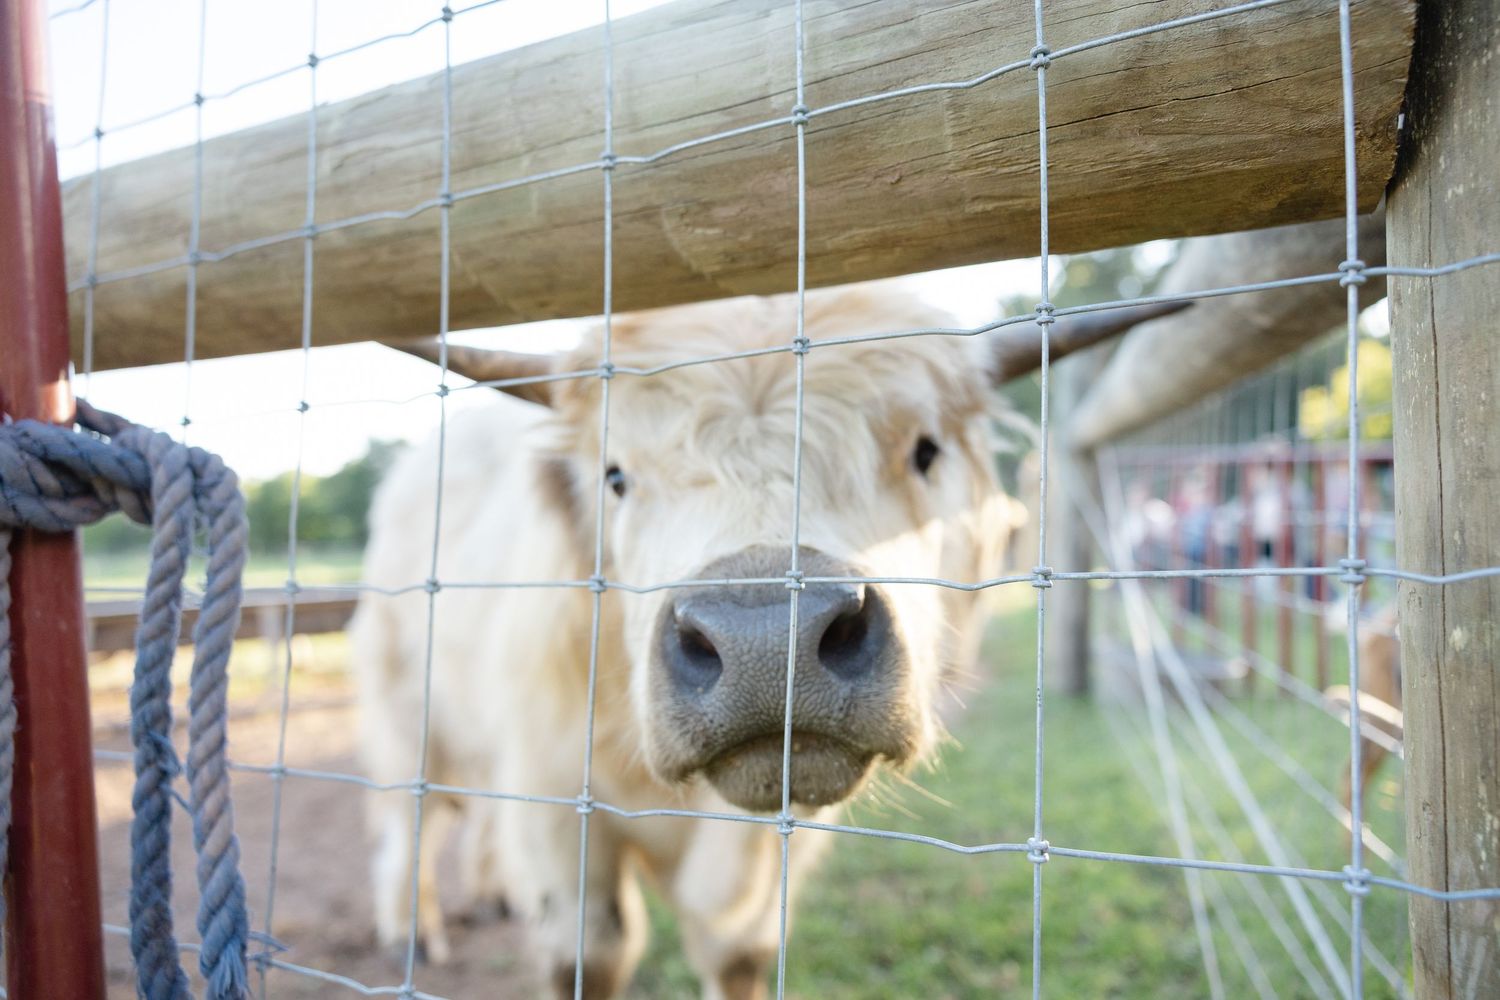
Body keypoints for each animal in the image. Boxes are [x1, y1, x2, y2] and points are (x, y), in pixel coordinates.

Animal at [350, 284, 1180, 998]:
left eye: (925, 450)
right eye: (616, 477)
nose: (768, 645)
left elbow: (739, 953)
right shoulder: (553, 798)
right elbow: (591, 952)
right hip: (402, 706)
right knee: (410, 816)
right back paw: (410, 928)